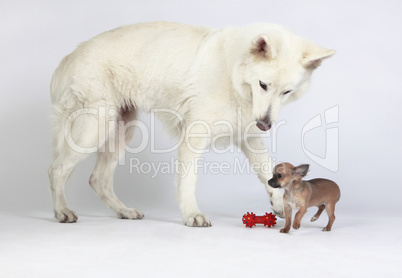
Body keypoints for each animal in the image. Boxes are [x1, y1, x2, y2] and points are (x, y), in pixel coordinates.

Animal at [48, 21, 334, 226]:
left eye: (286, 92)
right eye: (264, 85)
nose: (265, 124)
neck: (232, 73)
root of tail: (71, 54)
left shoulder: (249, 136)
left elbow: (267, 170)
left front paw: (277, 201)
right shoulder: (193, 137)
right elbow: (188, 181)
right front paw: (191, 215)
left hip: (120, 131)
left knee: (98, 179)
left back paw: (124, 211)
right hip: (95, 127)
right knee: (57, 169)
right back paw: (62, 210)